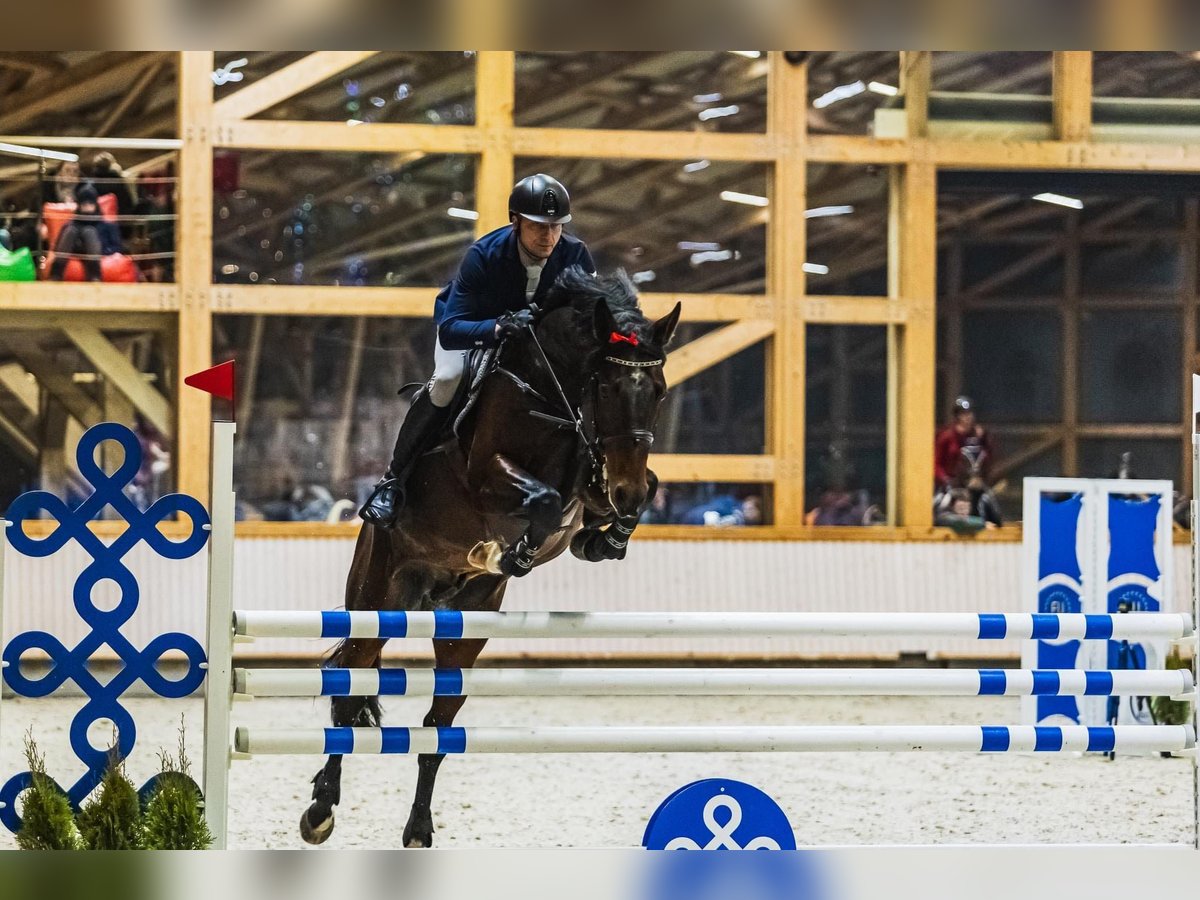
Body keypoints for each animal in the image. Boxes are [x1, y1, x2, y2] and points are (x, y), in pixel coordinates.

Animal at [300, 267, 686, 844]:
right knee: (350, 696)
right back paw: (321, 810)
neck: (552, 391)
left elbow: (617, 494)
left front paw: (603, 539)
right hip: (377, 599)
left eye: (659, 392)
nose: (627, 490)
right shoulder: (489, 475)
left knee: (437, 729)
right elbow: (542, 500)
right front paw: (512, 553)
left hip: (466, 627)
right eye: (606, 386)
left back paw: (419, 828)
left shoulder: (592, 474)